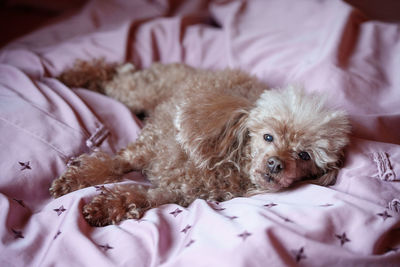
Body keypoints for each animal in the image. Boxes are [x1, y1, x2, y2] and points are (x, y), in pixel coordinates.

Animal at [50, 61, 350, 227]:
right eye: (268, 137)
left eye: (304, 156)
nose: (275, 164)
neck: (231, 162)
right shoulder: (144, 150)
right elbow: (110, 164)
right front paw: (72, 182)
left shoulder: (176, 193)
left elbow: (138, 196)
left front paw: (102, 208)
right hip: (140, 92)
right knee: (113, 74)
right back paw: (72, 76)